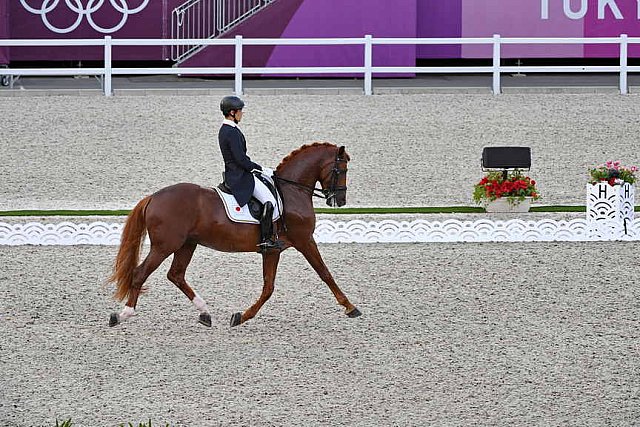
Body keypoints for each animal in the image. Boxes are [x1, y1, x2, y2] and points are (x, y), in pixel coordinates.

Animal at [108, 144, 362, 328]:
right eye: (342, 170)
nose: (340, 200)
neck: (292, 190)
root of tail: (153, 197)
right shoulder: (304, 240)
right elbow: (325, 274)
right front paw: (350, 307)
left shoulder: (273, 249)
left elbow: (268, 287)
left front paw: (240, 316)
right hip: (165, 246)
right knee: (141, 273)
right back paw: (123, 315)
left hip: (187, 244)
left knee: (176, 275)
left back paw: (205, 313)